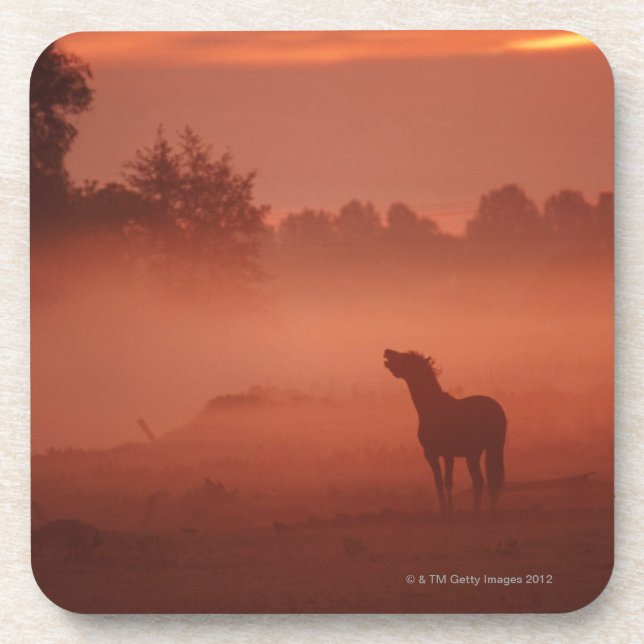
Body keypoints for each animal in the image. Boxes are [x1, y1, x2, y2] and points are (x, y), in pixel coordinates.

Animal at [383, 349, 506, 514]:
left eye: (404, 357)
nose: (387, 351)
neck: (432, 408)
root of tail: (498, 410)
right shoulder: (437, 455)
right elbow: (441, 482)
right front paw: (446, 509)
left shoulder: (441, 454)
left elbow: (445, 482)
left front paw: (448, 509)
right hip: (480, 452)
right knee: (484, 481)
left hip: (483, 451)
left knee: (485, 480)